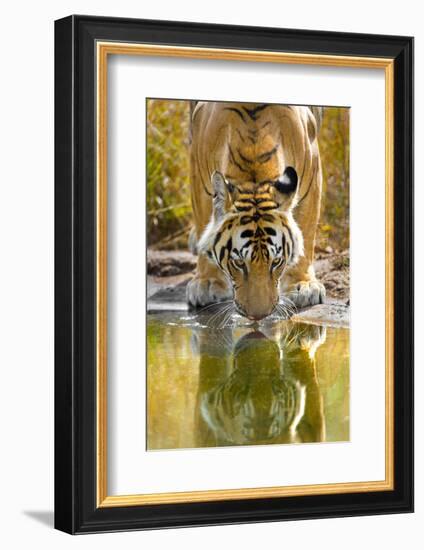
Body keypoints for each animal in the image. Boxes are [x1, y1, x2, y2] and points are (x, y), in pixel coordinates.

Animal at [187, 101, 326, 322]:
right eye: (238, 263)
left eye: (276, 262)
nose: (258, 316)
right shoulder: (199, 174)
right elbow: (203, 222)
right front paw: (207, 282)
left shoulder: (312, 170)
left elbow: (307, 228)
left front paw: (303, 286)